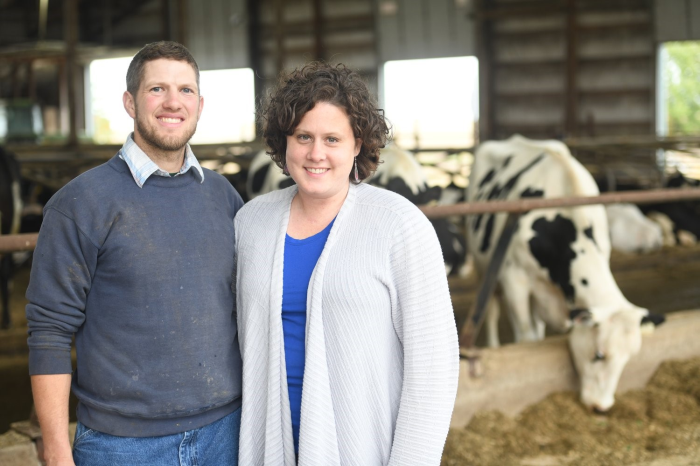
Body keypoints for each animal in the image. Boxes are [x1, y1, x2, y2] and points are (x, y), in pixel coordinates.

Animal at [468, 135, 664, 412]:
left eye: (629, 359)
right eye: (599, 355)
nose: (601, 407)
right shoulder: (514, 279)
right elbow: (526, 337)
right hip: (481, 264)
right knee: (492, 310)